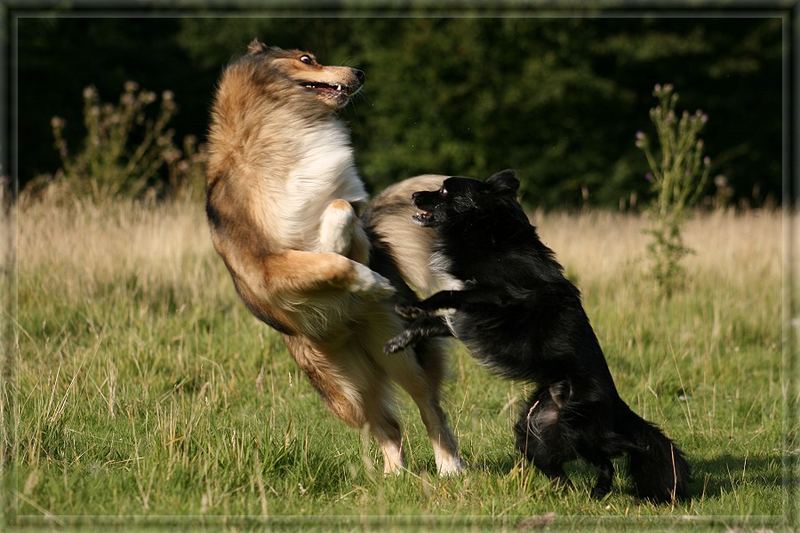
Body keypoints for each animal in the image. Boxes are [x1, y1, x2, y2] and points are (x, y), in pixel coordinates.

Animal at [205, 41, 462, 474]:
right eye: (307, 60)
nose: (359, 73)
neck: (283, 129)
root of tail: (349, 335)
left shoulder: (357, 229)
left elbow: (340, 211)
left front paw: (337, 250)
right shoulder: (265, 271)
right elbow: (330, 263)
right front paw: (369, 281)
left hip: (395, 348)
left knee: (428, 405)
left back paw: (449, 468)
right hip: (340, 387)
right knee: (385, 423)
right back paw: (394, 477)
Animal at [384, 171, 692, 502]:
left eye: (444, 191)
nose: (414, 195)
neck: (486, 234)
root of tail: (617, 404)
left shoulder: (499, 298)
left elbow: (447, 293)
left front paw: (412, 306)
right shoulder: (466, 319)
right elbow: (433, 321)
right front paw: (399, 340)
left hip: (578, 430)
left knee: (614, 456)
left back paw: (597, 492)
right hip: (535, 428)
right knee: (566, 465)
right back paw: (563, 493)